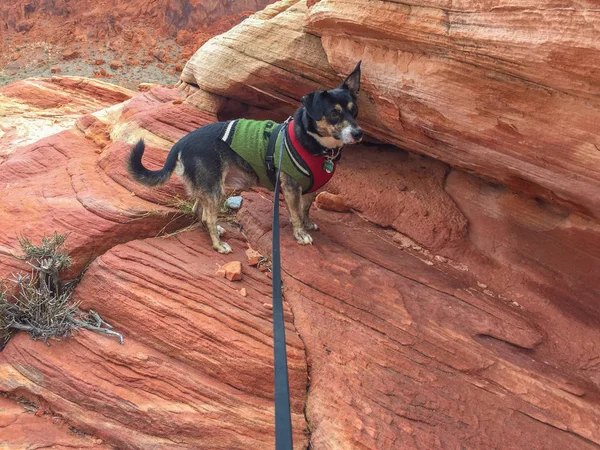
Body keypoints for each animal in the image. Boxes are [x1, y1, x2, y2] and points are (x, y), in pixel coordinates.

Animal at [127, 60, 360, 253]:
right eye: (334, 114)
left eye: (354, 111)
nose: (358, 133)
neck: (317, 146)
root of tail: (181, 142)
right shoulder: (291, 187)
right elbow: (295, 214)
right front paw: (300, 234)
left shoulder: (311, 188)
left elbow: (305, 209)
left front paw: (307, 223)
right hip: (214, 187)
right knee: (208, 216)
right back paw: (218, 245)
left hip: (206, 187)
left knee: (198, 210)